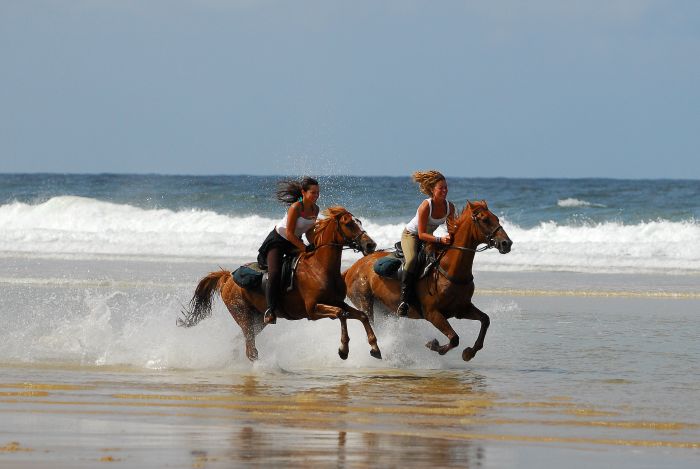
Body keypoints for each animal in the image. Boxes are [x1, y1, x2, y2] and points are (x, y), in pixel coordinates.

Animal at [176, 206, 382, 362]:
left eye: (359, 222)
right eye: (348, 223)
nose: (370, 245)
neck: (320, 267)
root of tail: (228, 278)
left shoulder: (336, 301)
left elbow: (361, 315)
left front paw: (374, 348)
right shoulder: (312, 310)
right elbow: (341, 314)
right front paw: (343, 349)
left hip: (258, 320)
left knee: (241, 343)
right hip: (243, 316)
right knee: (251, 350)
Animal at [346, 201, 516, 362]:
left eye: (497, 218)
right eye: (485, 220)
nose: (507, 243)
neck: (449, 269)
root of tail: (350, 269)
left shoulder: (462, 309)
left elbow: (485, 320)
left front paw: (469, 353)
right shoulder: (432, 314)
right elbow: (454, 339)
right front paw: (434, 345)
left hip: (386, 310)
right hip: (365, 303)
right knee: (372, 325)